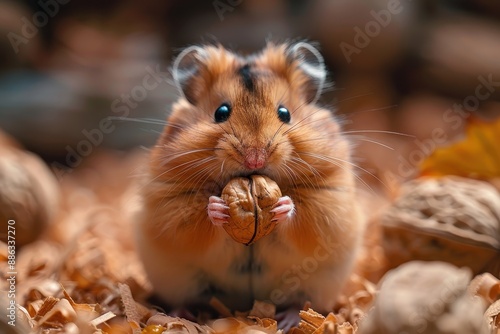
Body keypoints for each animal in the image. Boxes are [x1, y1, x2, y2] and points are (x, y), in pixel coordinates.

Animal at [136, 41, 364, 314]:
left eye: (285, 113)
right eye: (221, 112)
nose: (255, 158)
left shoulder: (329, 201)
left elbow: (306, 219)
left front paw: (282, 206)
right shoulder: (171, 205)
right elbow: (195, 222)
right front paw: (217, 208)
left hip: (317, 284)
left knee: (300, 303)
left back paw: (289, 318)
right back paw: (181, 314)